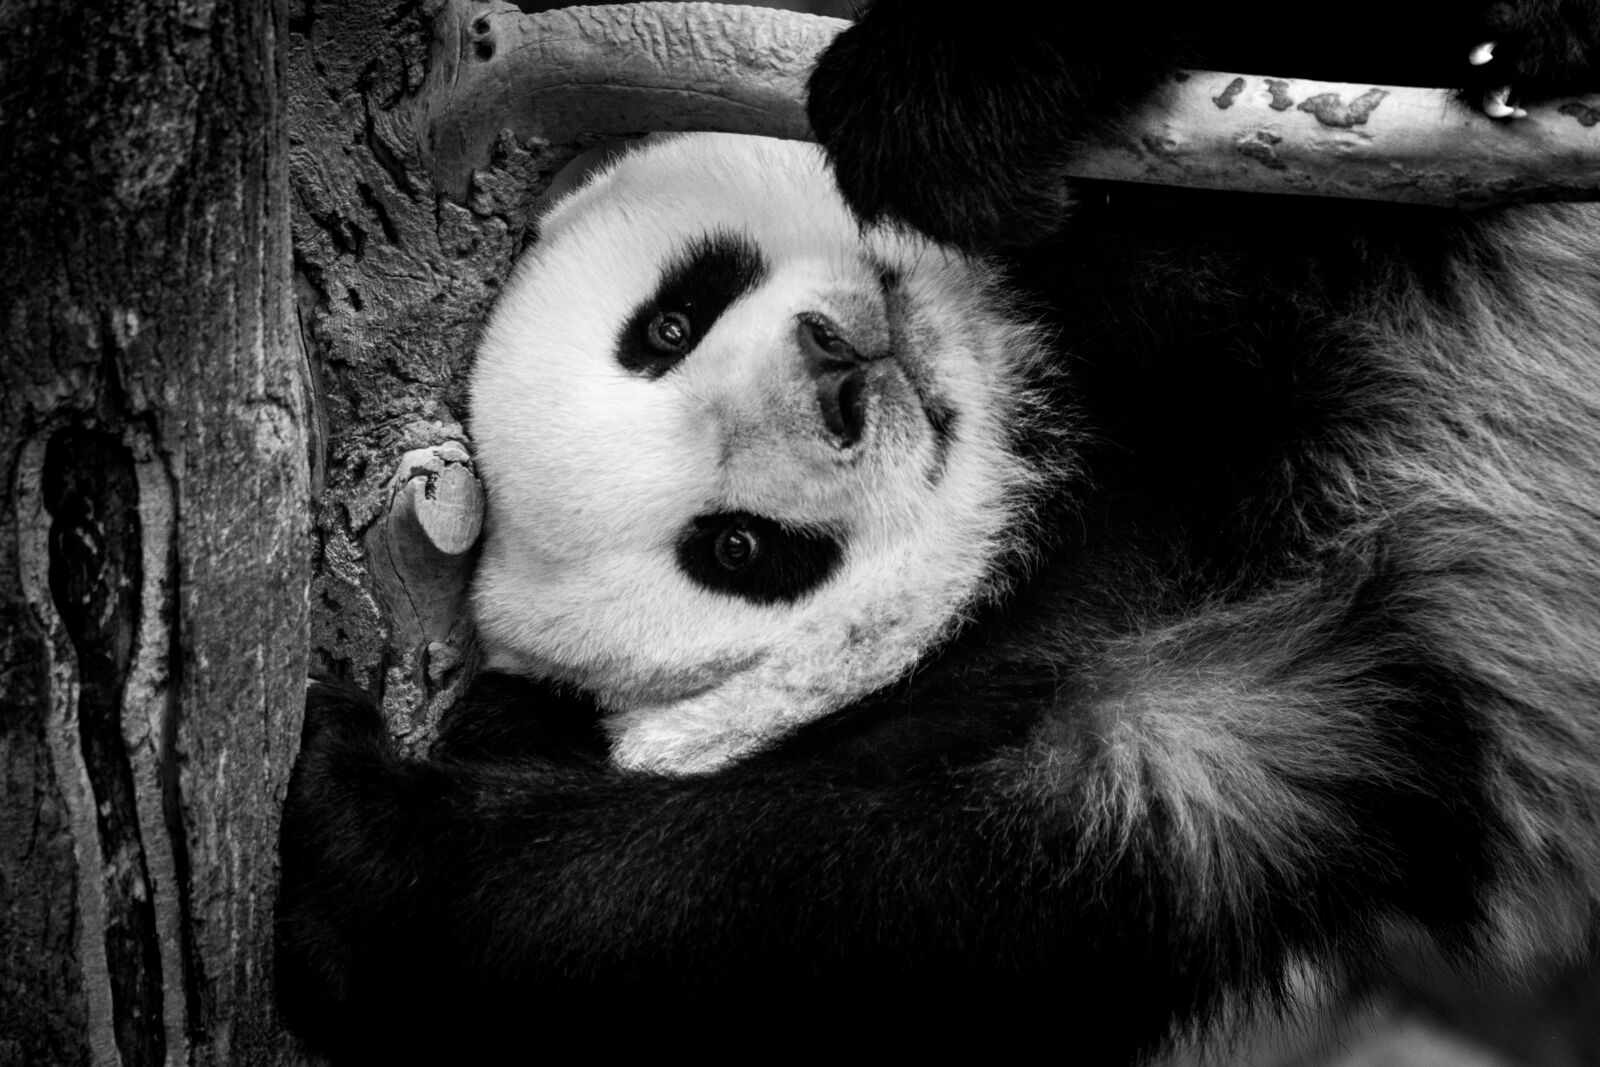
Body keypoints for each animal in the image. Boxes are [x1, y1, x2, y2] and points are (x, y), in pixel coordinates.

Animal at [277, 2, 1600, 1062]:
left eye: (668, 323)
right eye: (738, 550)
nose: (838, 372)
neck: (1068, 465)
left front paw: (935, 99)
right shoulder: (1197, 714)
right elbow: (834, 894)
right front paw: (357, 838)